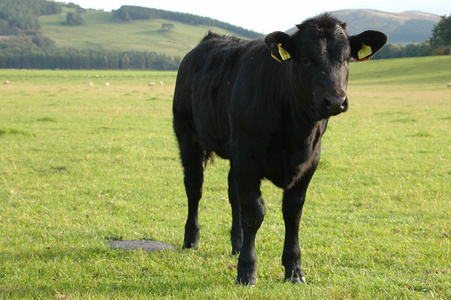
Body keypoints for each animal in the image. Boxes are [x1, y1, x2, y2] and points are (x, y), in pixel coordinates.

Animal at [173, 13, 388, 286]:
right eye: (306, 59)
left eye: (345, 58)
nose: (335, 101)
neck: (297, 134)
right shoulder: (248, 158)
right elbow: (254, 212)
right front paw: (247, 271)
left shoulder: (310, 161)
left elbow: (292, 213)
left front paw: (294, 270)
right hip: (187, 135)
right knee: (194, 188)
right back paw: (191, 240)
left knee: (233, 195)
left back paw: (237, 244)